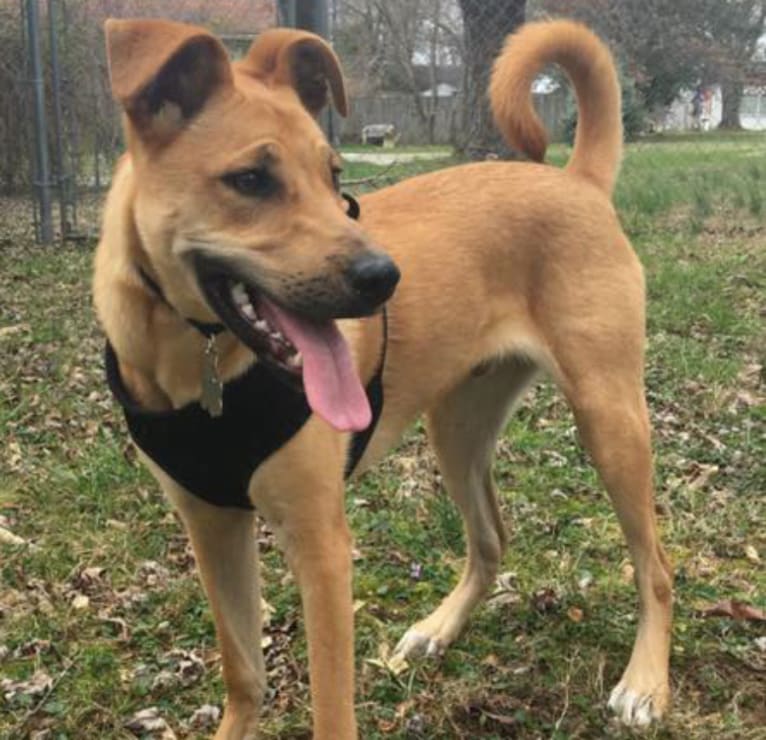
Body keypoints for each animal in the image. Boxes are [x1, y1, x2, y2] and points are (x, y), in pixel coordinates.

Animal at [94, 15, 672, 736]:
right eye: (250, 179)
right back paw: (439, 628)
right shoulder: (212, 526)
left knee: (656, 567)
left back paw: (646, 682)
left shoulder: (321, 546)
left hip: (609, 420)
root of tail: (579, 181)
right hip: (457, 430)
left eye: (333, 174)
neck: (199, 366)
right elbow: (243, 671)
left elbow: (331, 708)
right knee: (492, 541)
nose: (383, 277)